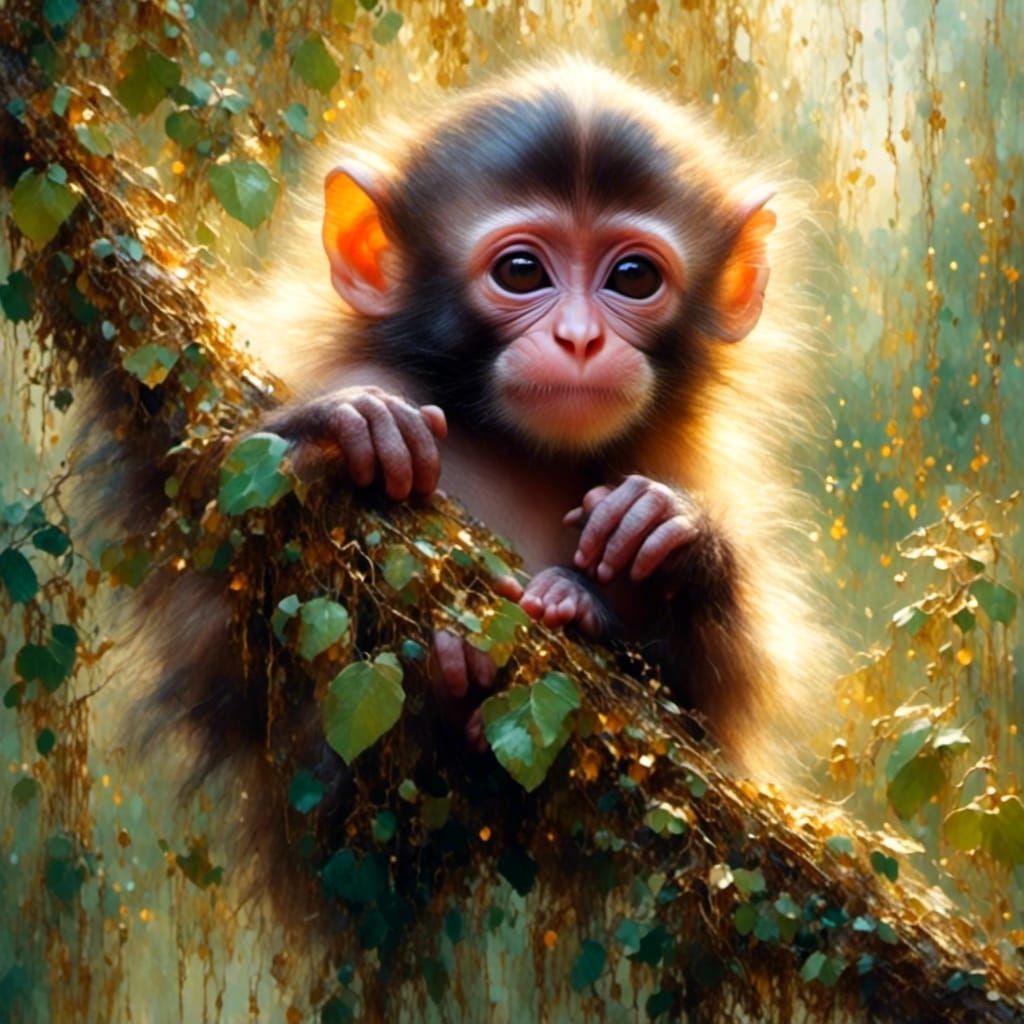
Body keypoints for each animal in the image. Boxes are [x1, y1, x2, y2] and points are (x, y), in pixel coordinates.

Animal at [232, 57, 829, 773]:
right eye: (521, 271)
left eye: (633, 277)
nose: (579, 339)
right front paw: (346, 424)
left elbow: (719, 726)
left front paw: (671, 530)